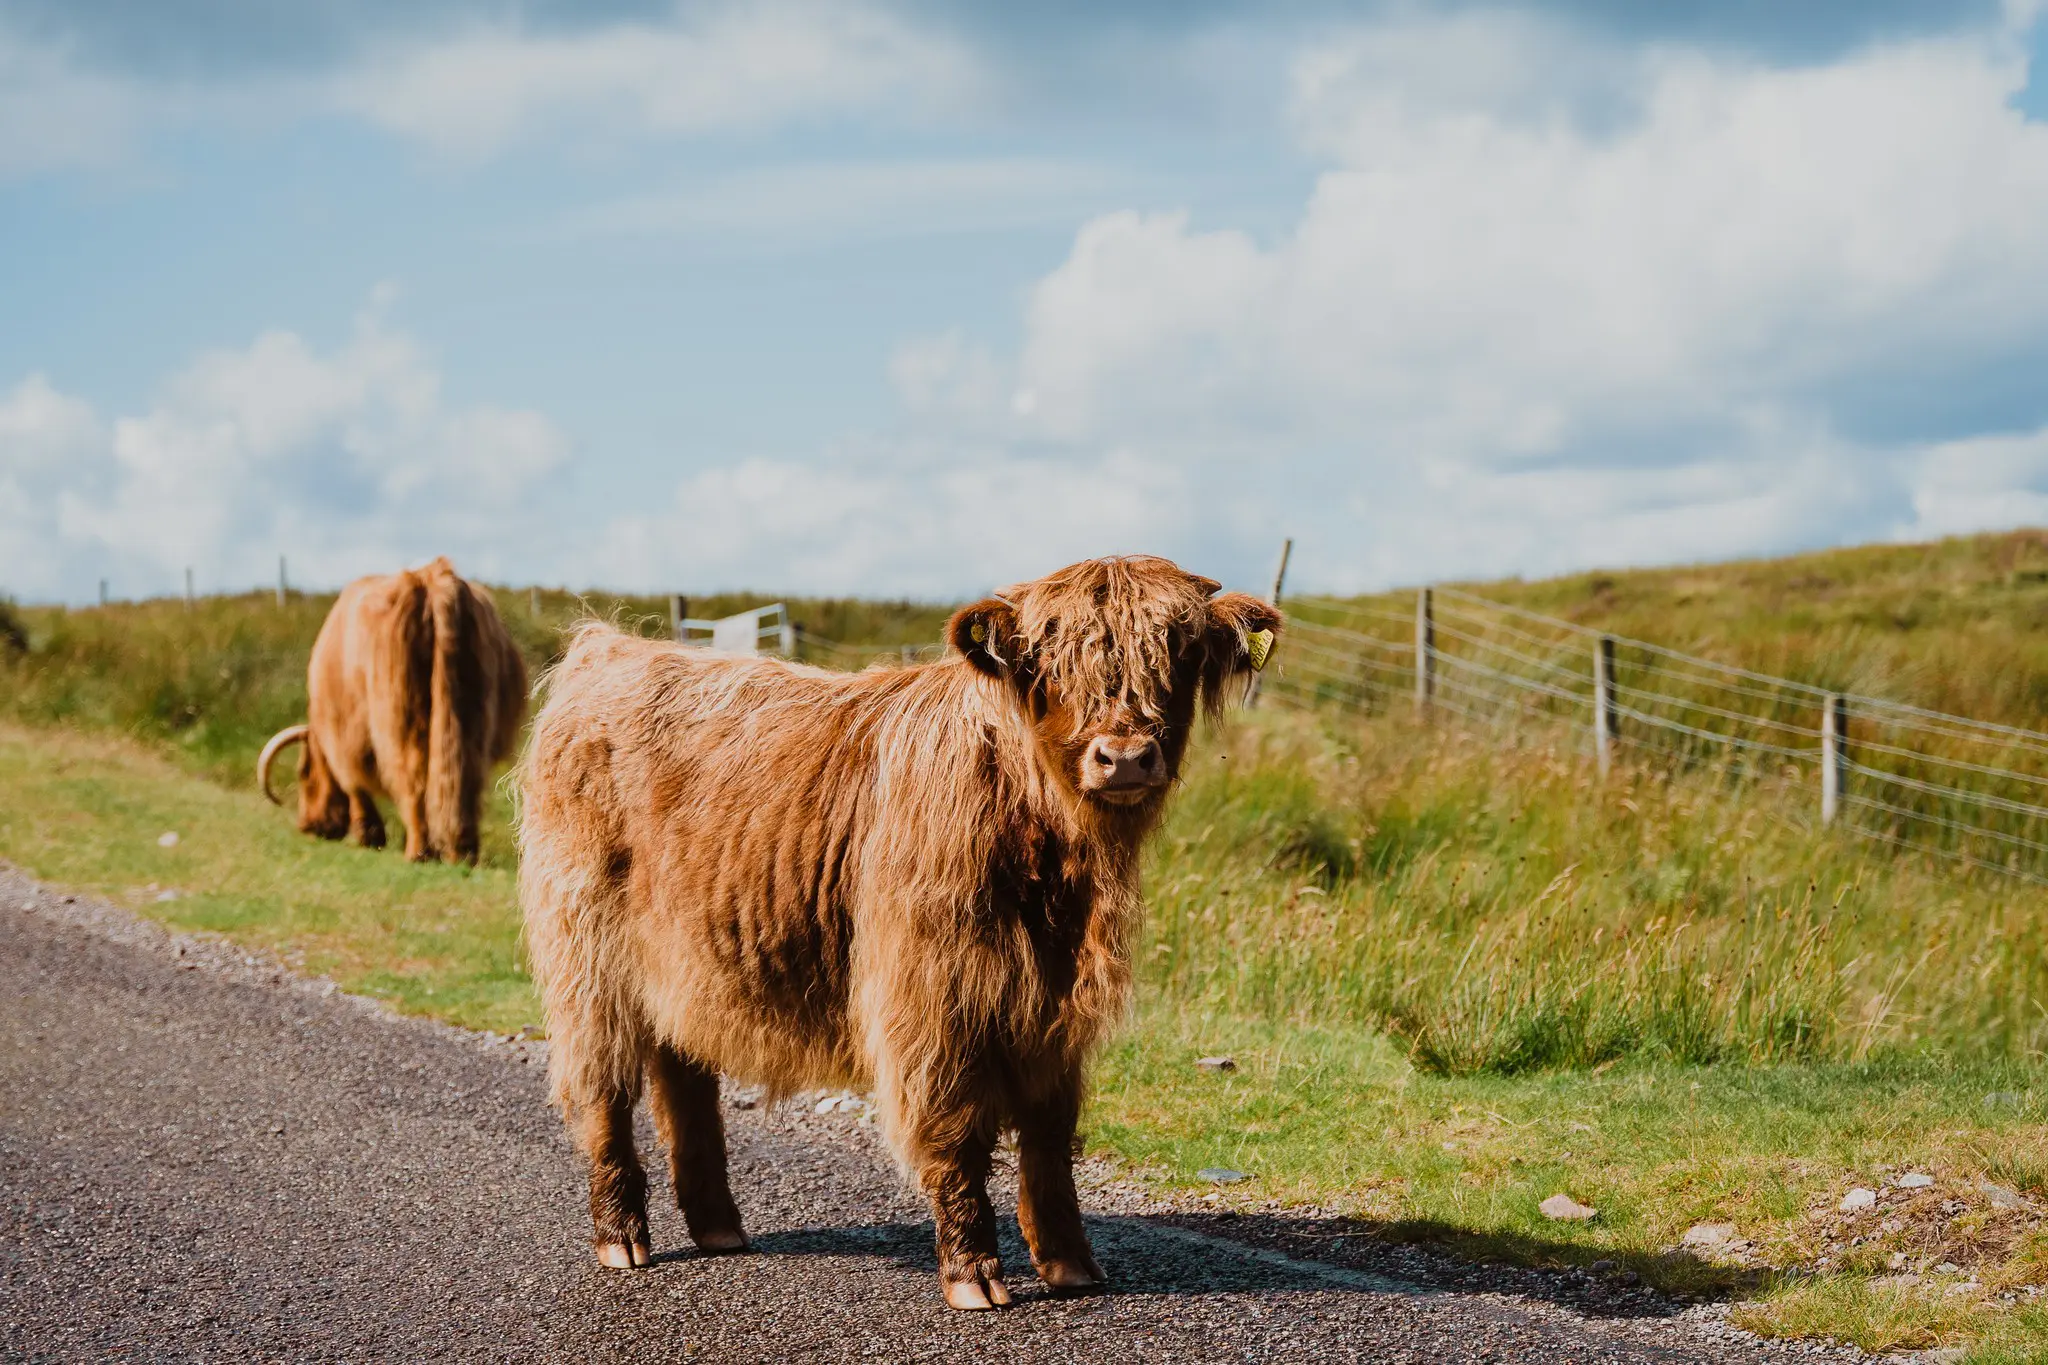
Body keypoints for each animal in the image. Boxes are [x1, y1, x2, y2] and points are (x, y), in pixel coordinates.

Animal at [257, 557, 527, 866]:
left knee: (413, 776)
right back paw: (462, 852)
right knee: (465, 775)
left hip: (402, 718)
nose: (307, 826)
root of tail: (433, 578)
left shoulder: (343, 737)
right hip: (470, 713)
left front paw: (369, 837)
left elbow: (355, 785)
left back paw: (419, 852)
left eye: (303, 773)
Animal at [517, 555, 1281, 1309]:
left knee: (684, 1076)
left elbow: (1049, 1133)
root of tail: (610, 647)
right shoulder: (933, 994)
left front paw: (1071, 1263)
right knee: (603, 1089)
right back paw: (622, 1236)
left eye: (1180, 651)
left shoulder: (1054, 1007)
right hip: (587, 952)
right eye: (1048, 660)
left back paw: (718, 1227)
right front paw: (973, 1271)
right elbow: (957, 1129)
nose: (1122, 756)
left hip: (685, 957)